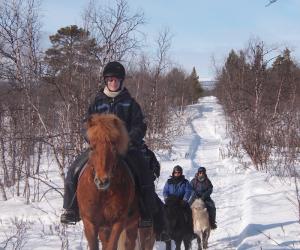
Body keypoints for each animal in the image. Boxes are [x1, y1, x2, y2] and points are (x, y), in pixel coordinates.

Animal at [77, 114, 154, 249]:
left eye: (113, 147)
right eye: (92, 147)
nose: (102, 180)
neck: (103, 193)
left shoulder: (118, 222)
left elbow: (112, 246)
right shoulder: (90, 223)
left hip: (132, 225)